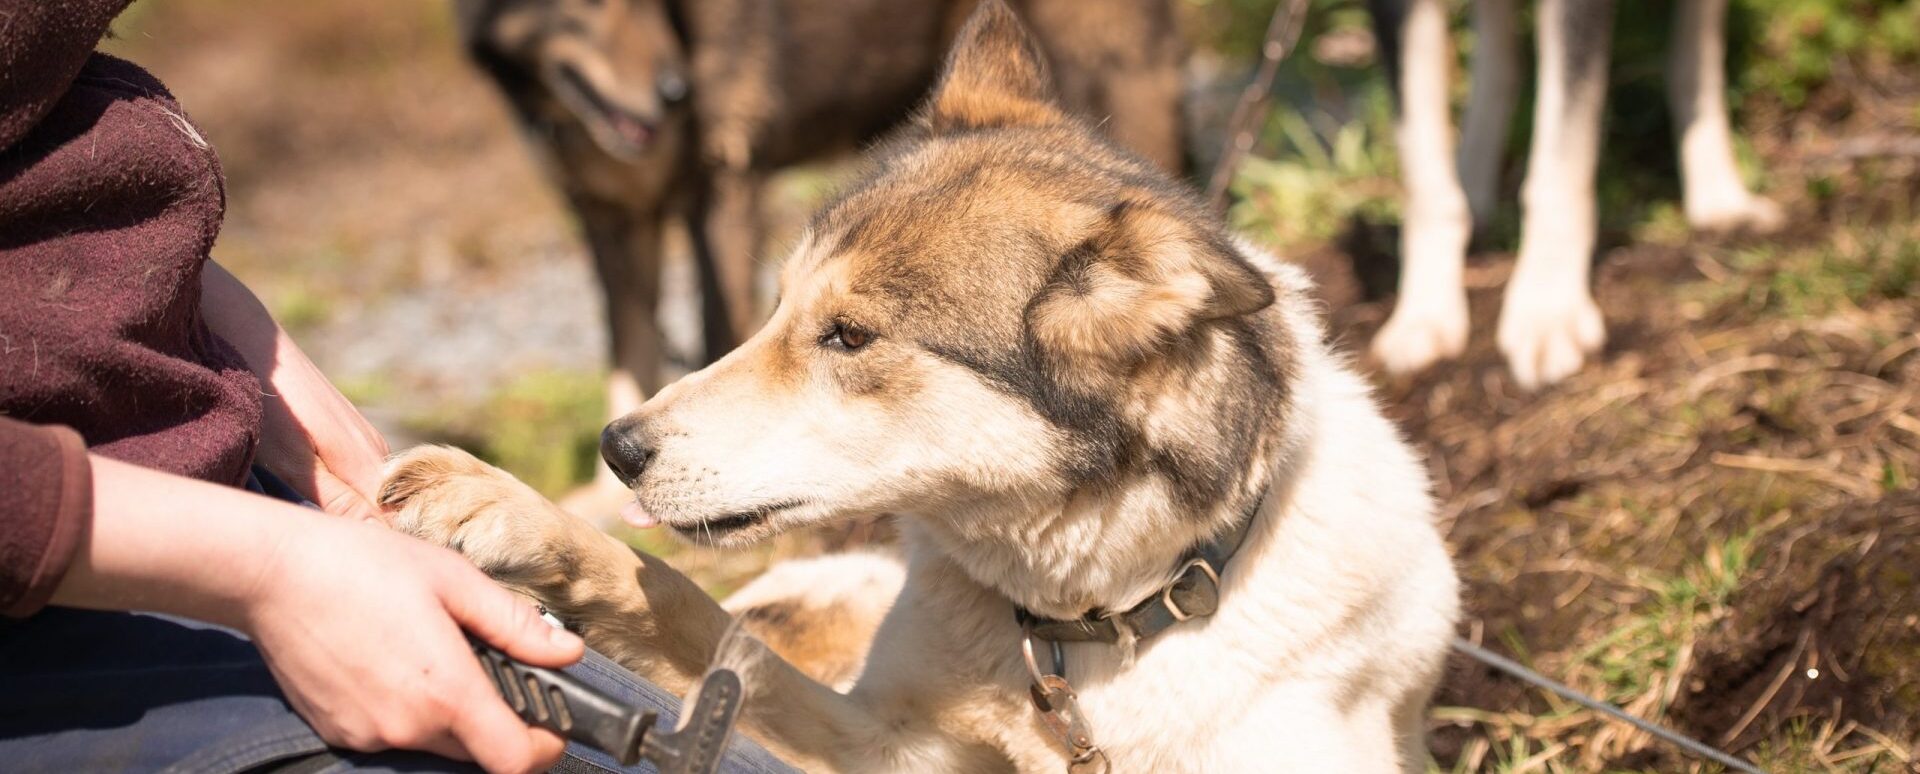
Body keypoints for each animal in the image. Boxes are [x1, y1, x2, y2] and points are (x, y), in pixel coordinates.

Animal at [1367, 0, 1781, 387]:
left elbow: (1562, 159)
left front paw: (1548, 309)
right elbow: (1424, 179)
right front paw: (1423, 313)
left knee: (1695, 58)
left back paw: (1720, 197)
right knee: (1502, 63)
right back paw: (1472, 187)